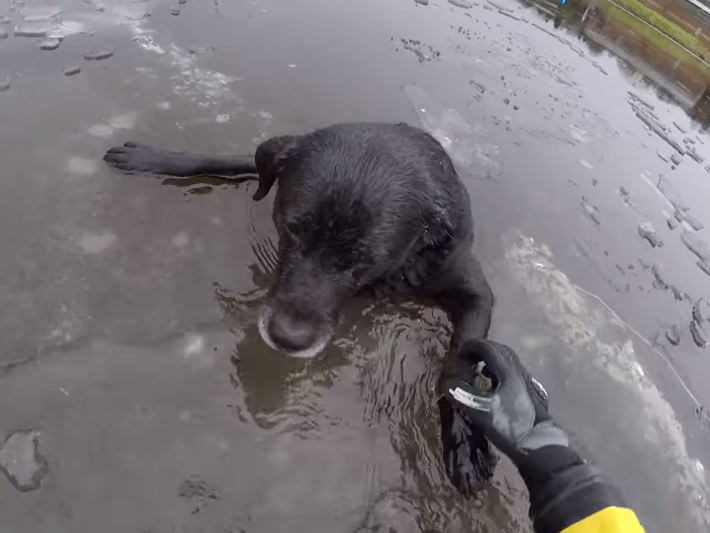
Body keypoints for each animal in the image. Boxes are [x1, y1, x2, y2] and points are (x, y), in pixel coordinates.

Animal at [103, 121, 498, 490]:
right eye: (293, 229)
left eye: (365, 259)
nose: (286, 338)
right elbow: (227, 159)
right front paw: (153, 158)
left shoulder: (474, 291)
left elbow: (458, 369)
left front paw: (467, 447)